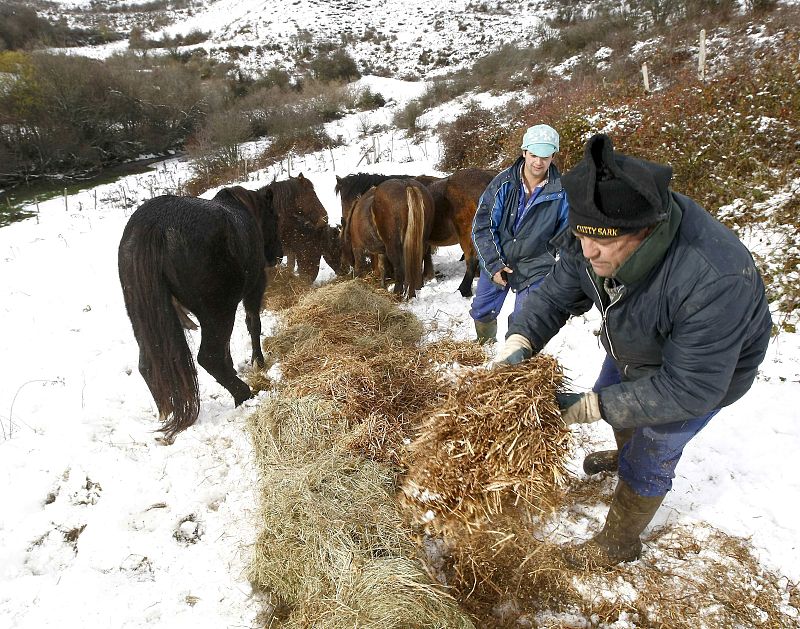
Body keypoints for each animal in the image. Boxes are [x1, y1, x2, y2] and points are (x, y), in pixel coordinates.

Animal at [118, 185, 282, 443]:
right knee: (209, 357)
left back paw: (167, 411)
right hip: (217, 313)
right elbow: (253, 324)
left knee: (148, 365)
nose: (278, 254)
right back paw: (244, 394)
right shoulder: (255, 288)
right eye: (274, 217)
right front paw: (258, 361)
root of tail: (155, 225)